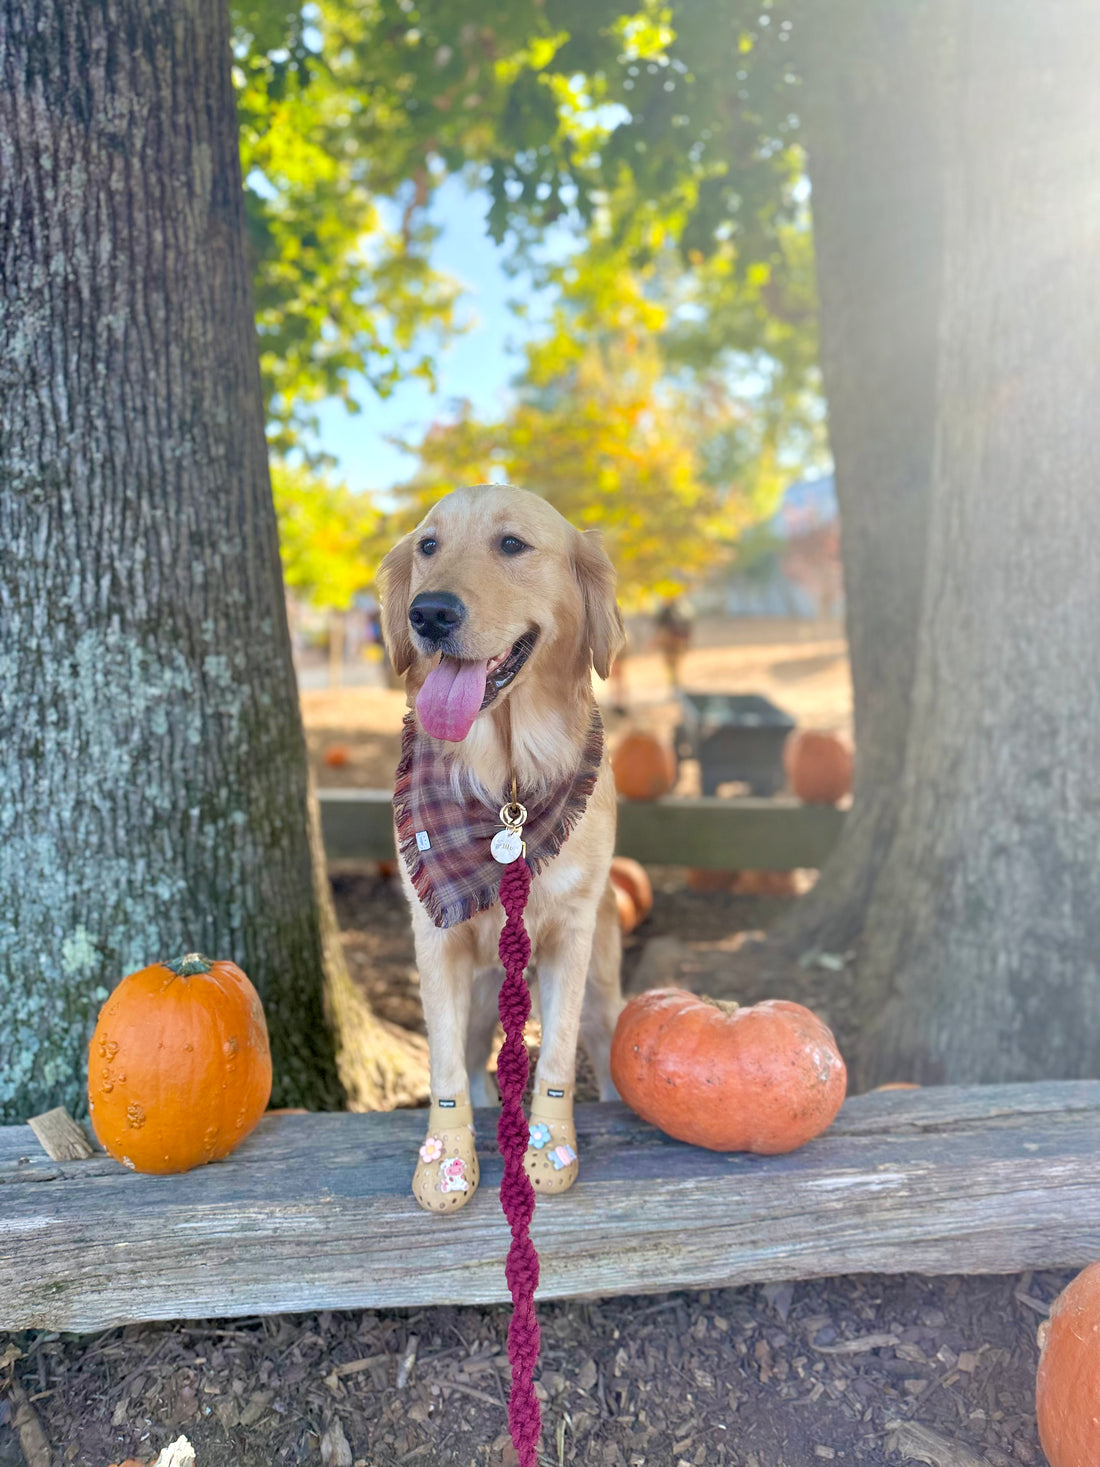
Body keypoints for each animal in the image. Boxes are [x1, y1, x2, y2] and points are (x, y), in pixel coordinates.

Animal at [384, 484, 627, 1214]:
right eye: (428, 545)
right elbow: (443, 1065)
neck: (506, 785)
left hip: (605, 991)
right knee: (470, 1059)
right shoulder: (434, 939)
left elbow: (558, 1051)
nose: (429, 612)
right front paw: (445, 1161)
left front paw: (548, 1146)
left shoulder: (572, 933)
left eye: (513, 544)